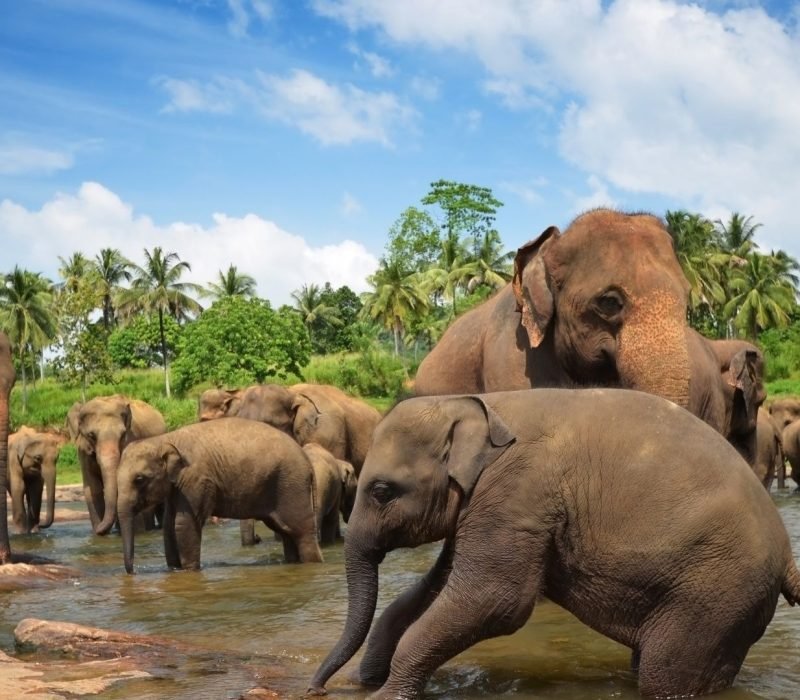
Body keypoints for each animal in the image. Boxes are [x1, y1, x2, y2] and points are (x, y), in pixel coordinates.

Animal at [75, 395, 166, 535]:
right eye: (91, 435)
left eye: (123, 434)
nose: (98, 530)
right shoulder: (83, 451)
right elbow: (93, 489)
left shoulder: (132, 440)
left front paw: (138, 533)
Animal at [116, 417, 324, 573]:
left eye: (139, 479)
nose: (133, 571)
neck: (164, 439)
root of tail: (307, 461)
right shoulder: (177, 486)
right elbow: (169, 525)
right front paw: (174, 570)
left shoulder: (196, 479)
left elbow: (184, 524)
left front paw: (189, 571)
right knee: (286, 531)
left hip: (291, 485)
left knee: (302, 531)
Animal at [310, 389, 800, 699]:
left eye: (381, 491)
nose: (316, 689)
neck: (479, 403)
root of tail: (787, 557)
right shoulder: (486, 506)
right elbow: (434, 588)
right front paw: (366, 681)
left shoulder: (516, 495)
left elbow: (494, 600)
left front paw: (383, 695)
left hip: (716, 593)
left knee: (665, 676)